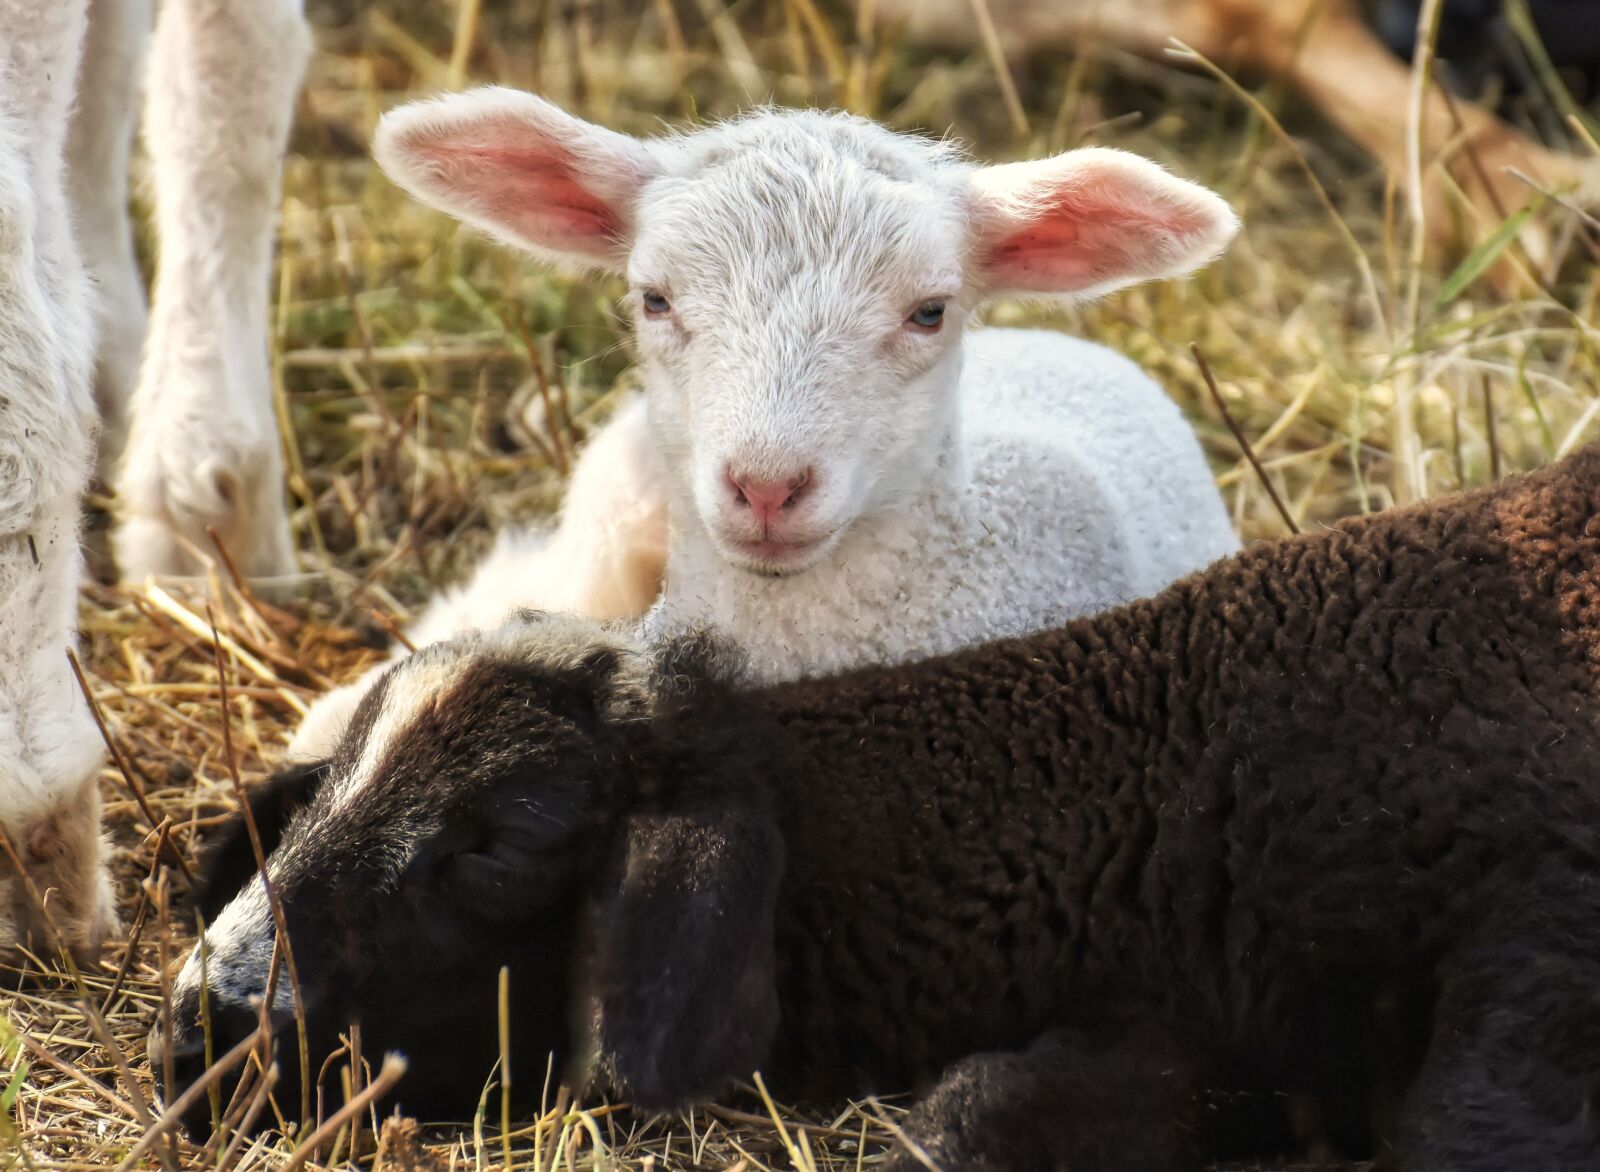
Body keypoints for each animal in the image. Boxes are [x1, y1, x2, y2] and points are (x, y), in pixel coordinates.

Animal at [157, 440, 1600, 1168]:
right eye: (324, 794)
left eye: (501, 842)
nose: (202, 1029)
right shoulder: (1192, 1029)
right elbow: (987, 1111)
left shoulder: (1536, 954)